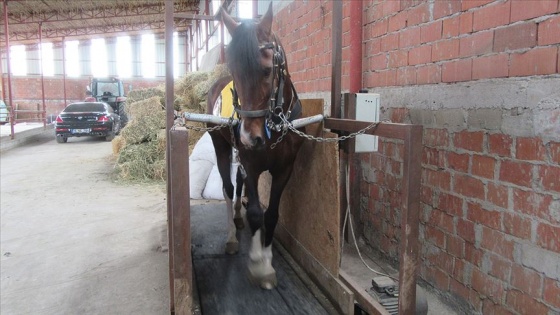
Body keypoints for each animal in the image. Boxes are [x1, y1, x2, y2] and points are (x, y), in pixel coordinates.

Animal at [206, 5, 304, 292]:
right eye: (235, 71)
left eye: (267, 70)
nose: (250, 137)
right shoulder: (252, 164)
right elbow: (256, 213)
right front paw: (258, 263)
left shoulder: (284, 169)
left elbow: (271, 214)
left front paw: (268, 260)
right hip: (221, 145)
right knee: (229, 189)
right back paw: (231, 236)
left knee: (238, 184)